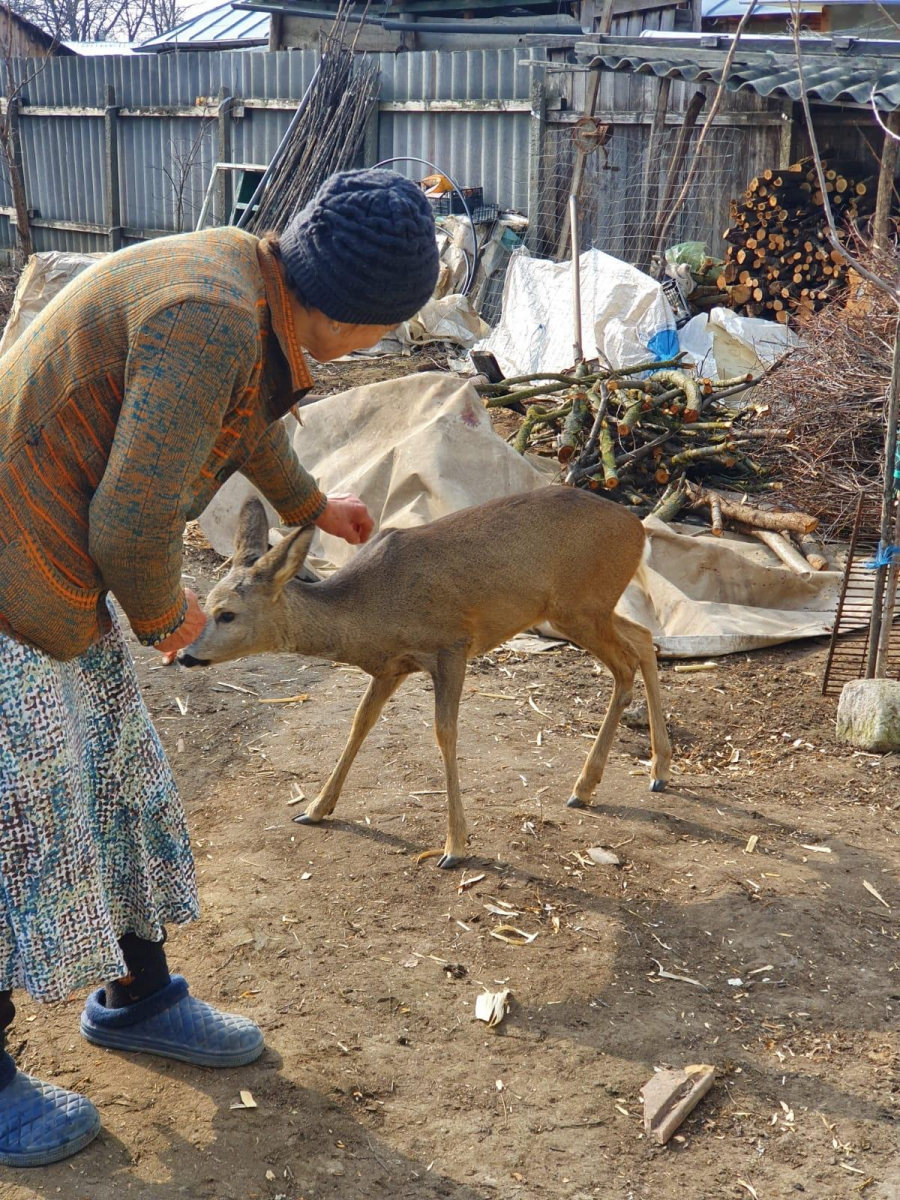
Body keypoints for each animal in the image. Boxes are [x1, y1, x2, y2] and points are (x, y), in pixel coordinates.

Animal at [181, 489, 672, 873]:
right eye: (208, 603)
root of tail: (638, 530)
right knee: (645, 639)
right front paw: (317, 808)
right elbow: (360, 723)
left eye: (228, 614)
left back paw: (586, 786)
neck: (370, 610)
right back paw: (656, 771)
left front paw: (455, 846)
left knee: (626, 664)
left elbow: (445, 733)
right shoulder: (392, 667)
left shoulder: (451, 645)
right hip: (585, 608)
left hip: (578, 606)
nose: (185, 655)